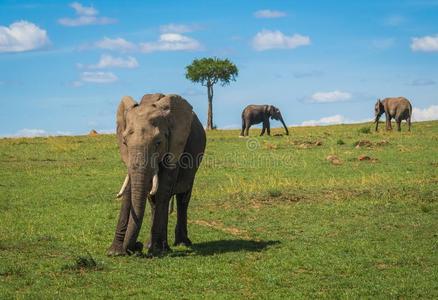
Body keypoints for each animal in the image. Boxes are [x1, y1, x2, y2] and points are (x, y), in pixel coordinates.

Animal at [108, 92, 207, 256]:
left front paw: (156, 251)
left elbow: (163, 188)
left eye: (158, 143)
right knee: (154, 200)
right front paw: (114, 252)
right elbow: (130, 189)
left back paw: (179, 243)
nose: (137, 246)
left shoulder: (176, 145)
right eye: (125, 142)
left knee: (182, 198)